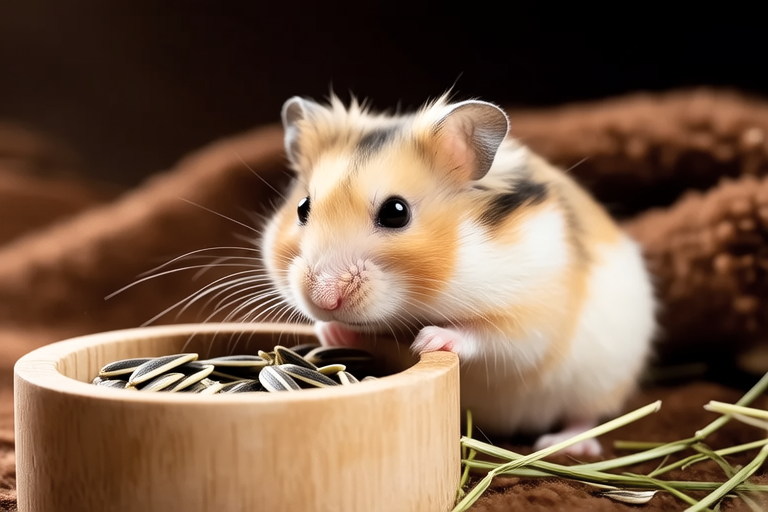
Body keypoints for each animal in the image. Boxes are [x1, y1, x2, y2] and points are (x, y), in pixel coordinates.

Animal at [260, 92, 656, 456]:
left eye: (396, 212)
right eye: (302, 207)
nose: (323, 300)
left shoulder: (531, 319)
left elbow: (485, 335)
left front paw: (428, 340)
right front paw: (330, 331)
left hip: (599, 378)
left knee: (585, 416)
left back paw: (564, 445)